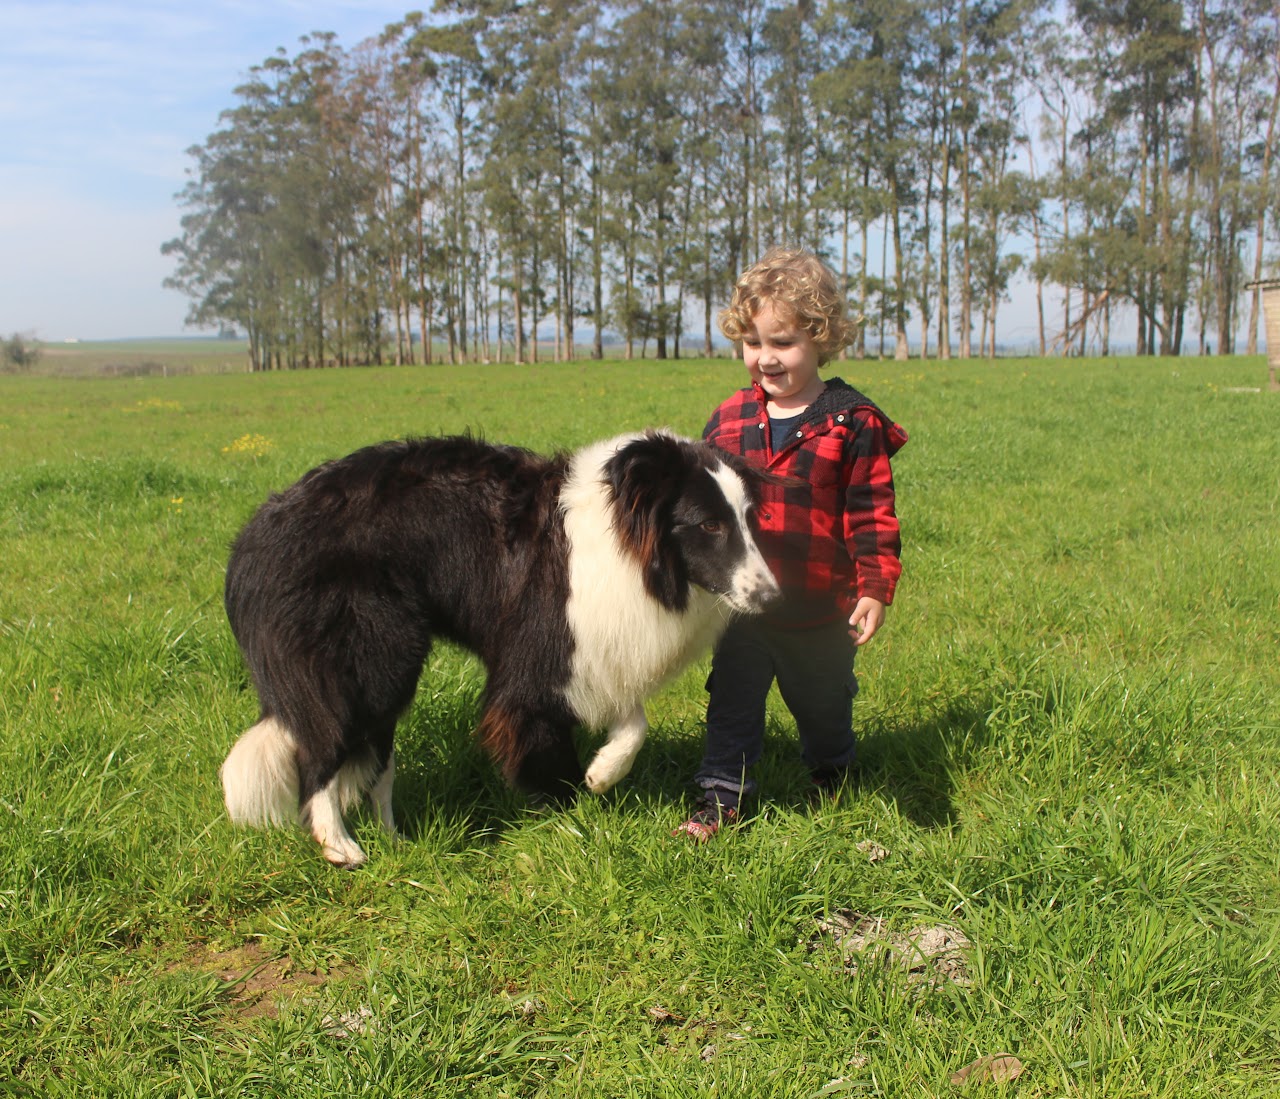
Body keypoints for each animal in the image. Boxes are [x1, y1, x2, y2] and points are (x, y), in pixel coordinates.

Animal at [220, 432, 778, 869]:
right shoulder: (537, 658)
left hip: (386, 665)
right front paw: (574, 822)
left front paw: (602, 774)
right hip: (368, 660)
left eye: (749, 520)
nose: (773, 598)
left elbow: (633, 721)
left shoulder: (596, 650)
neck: (630, 545)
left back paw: (395, 842)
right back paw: (340, 846)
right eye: (709, 525)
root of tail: (254, 535)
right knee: (321, 749)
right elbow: (544, 746)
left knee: (375, 760)